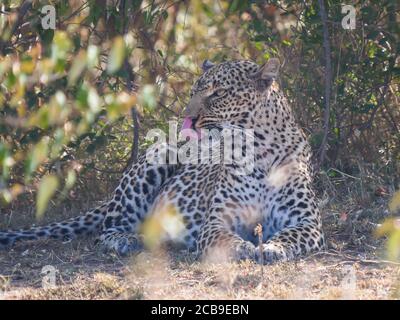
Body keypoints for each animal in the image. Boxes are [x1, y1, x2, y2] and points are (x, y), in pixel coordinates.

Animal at [0, 58, 324, 264]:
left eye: (218, 93)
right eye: (194, 92)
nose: (187, 118)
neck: (255, 151)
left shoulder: (307, 222)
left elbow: (290, 235)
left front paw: (272, 248)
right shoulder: (216, 222)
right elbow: (225, 239)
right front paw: (244, 248)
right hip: (158, 156)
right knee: (106, 231)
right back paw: (128, 240)